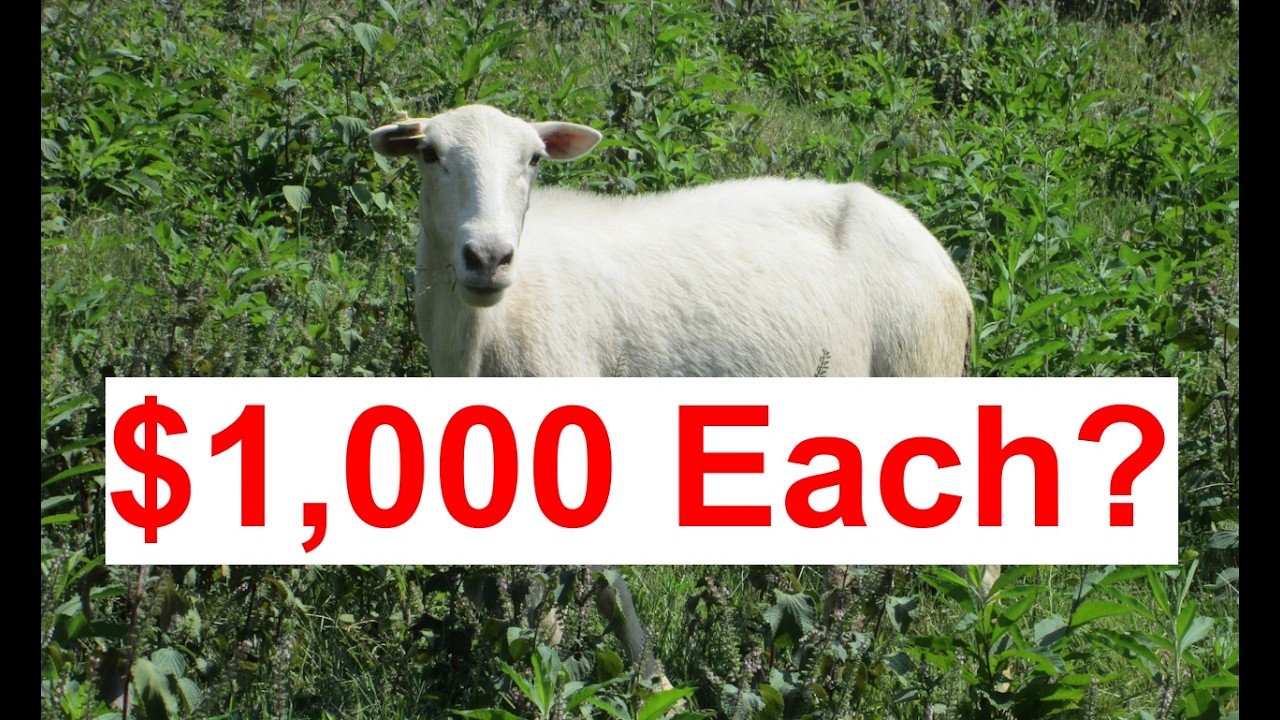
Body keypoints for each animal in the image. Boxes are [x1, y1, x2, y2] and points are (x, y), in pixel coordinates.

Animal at [369, 103, 981, 679]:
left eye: (535, 160)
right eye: (429, 154)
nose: (489, 258)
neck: (482, 331)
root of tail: (945, 264)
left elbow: (571, 602)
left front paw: (633, 679)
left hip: (921, 374)